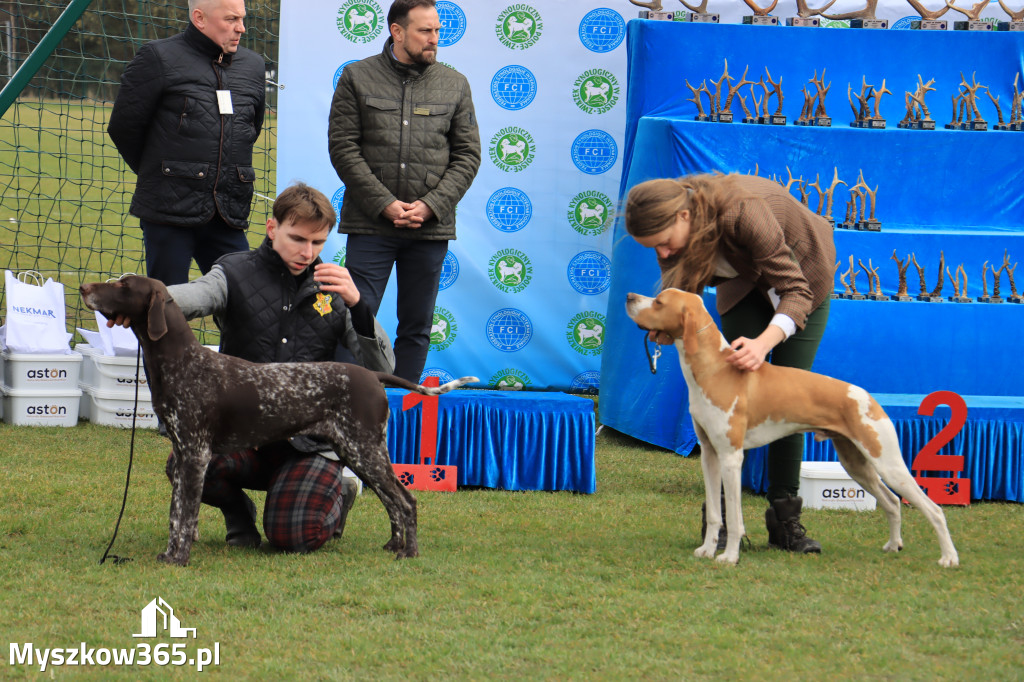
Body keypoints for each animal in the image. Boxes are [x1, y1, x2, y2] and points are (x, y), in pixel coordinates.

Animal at [81, 274, 477, 561]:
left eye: (124, 285)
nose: (84, 287)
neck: (182, 362)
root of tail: (372, 376)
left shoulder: (195, 455)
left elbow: (186, 514)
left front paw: (179, 558)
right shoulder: (181, 456)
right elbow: (175, 513)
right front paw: (167, 555)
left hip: (364, 451)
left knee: (405, 500)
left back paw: (409, 552)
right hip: (359, 453)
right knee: (391, 500)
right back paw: (394, 545)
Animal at [622, 288, 958, 565]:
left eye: (659, 302)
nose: (629, 296)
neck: (715, 369)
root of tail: (867, 397)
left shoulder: (732, 458)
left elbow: (735, 518)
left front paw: (729, 557)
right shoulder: (710, 455)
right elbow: (717, 513)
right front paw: (707, 550)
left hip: (888, 464)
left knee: (934, 509)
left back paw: (948, 558)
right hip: (857, 465)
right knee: (892, 503)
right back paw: (893, 545)